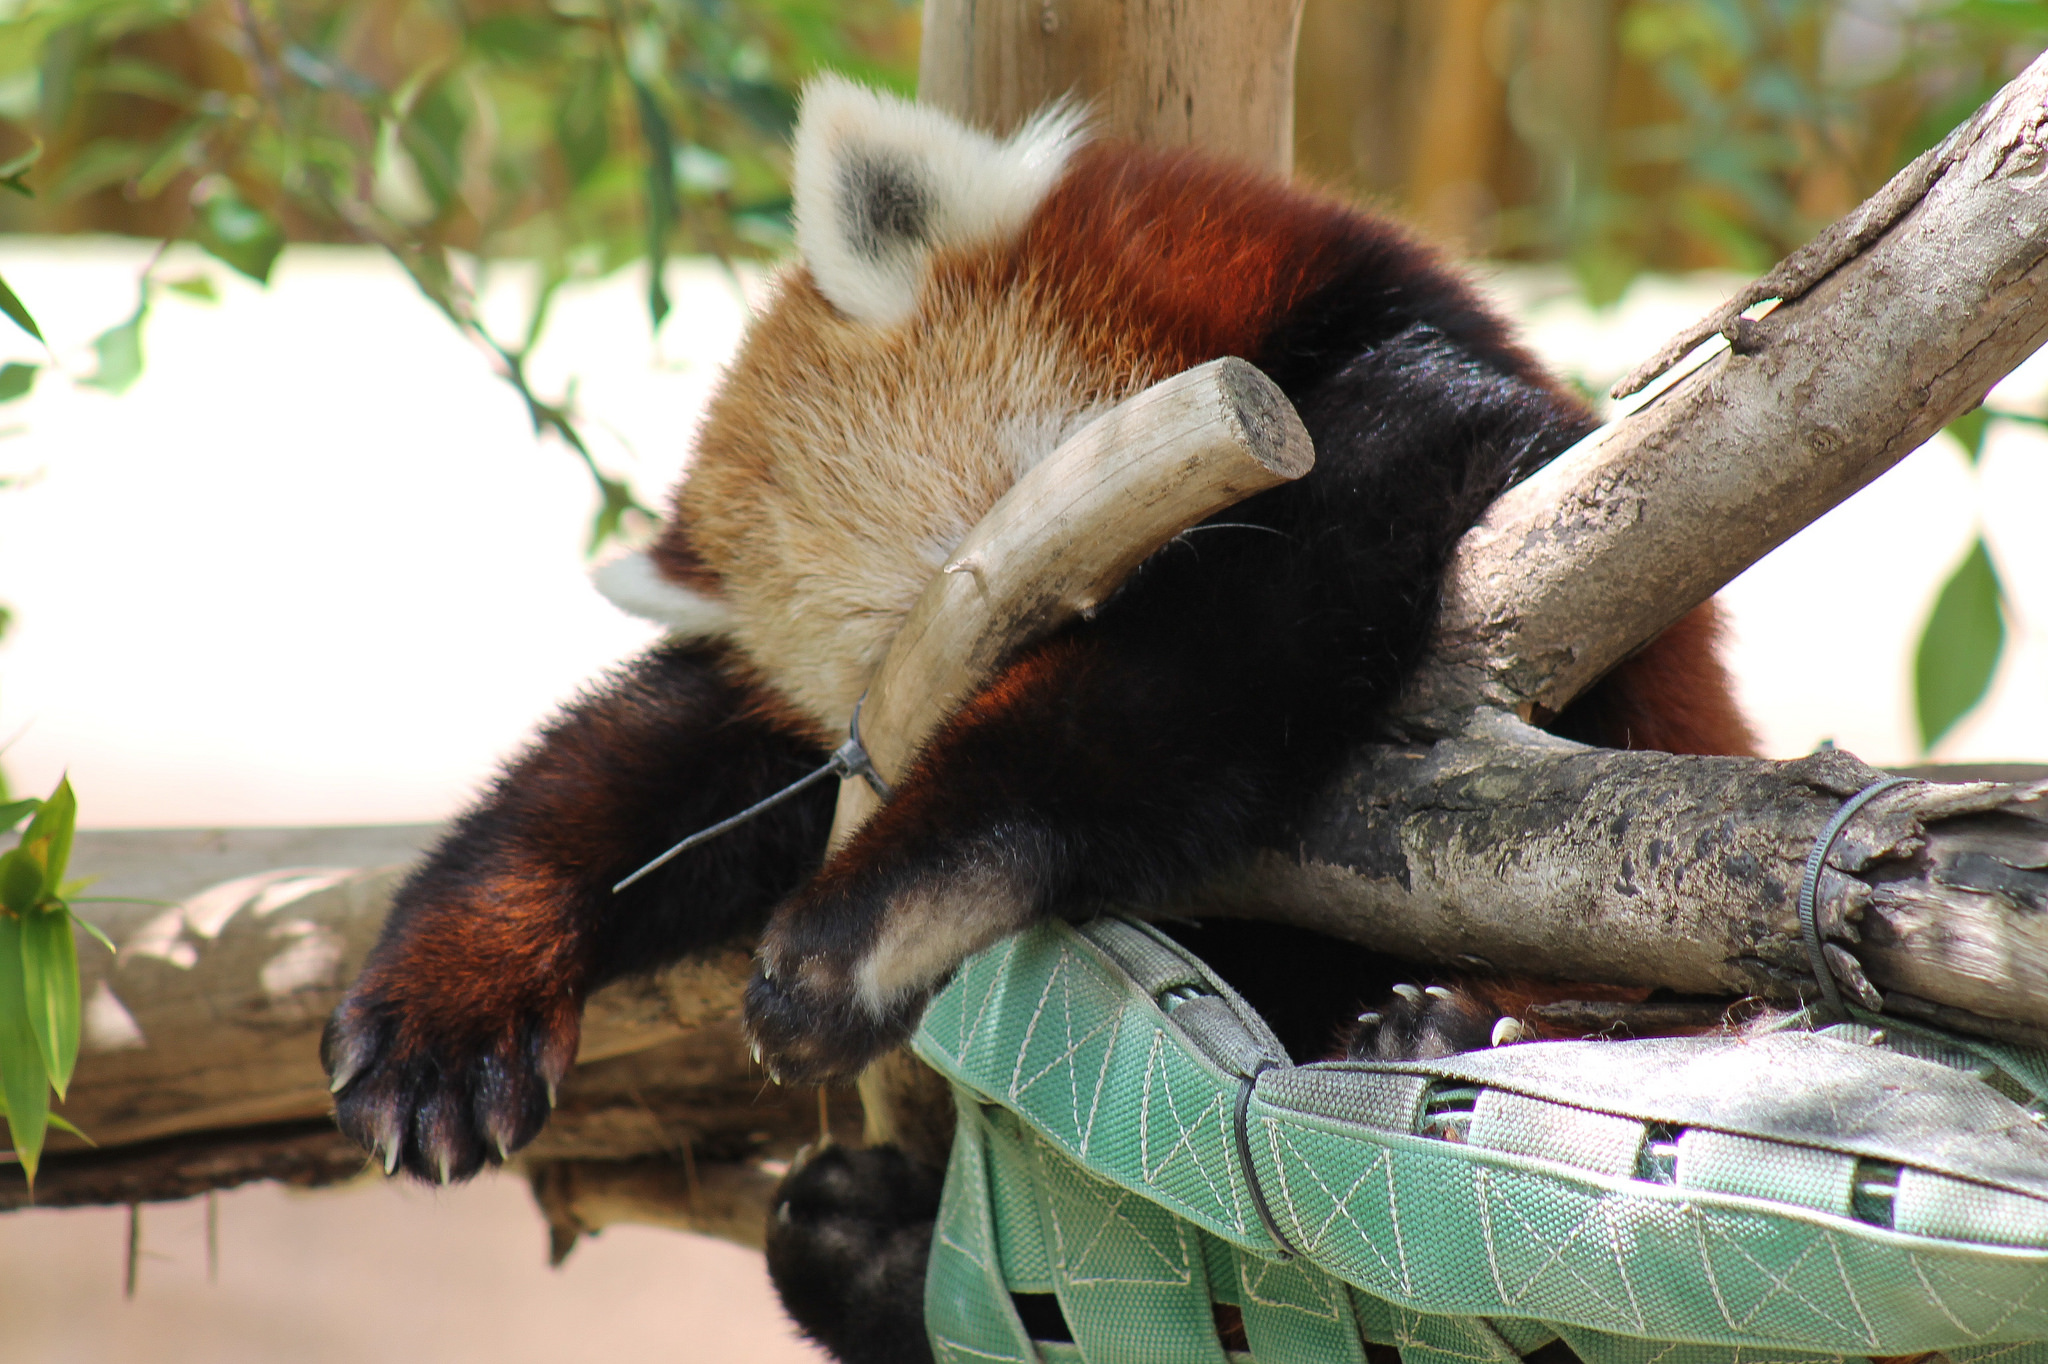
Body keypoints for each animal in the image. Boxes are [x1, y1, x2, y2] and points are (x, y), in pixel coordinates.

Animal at [323, 76, 1761, 1359]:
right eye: (930, 680)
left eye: (1053, 575)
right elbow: (639, 779)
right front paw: (444, 1004)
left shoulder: (1427, 420)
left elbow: (1195, 666)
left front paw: (872, 920)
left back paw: (1450, 1031)